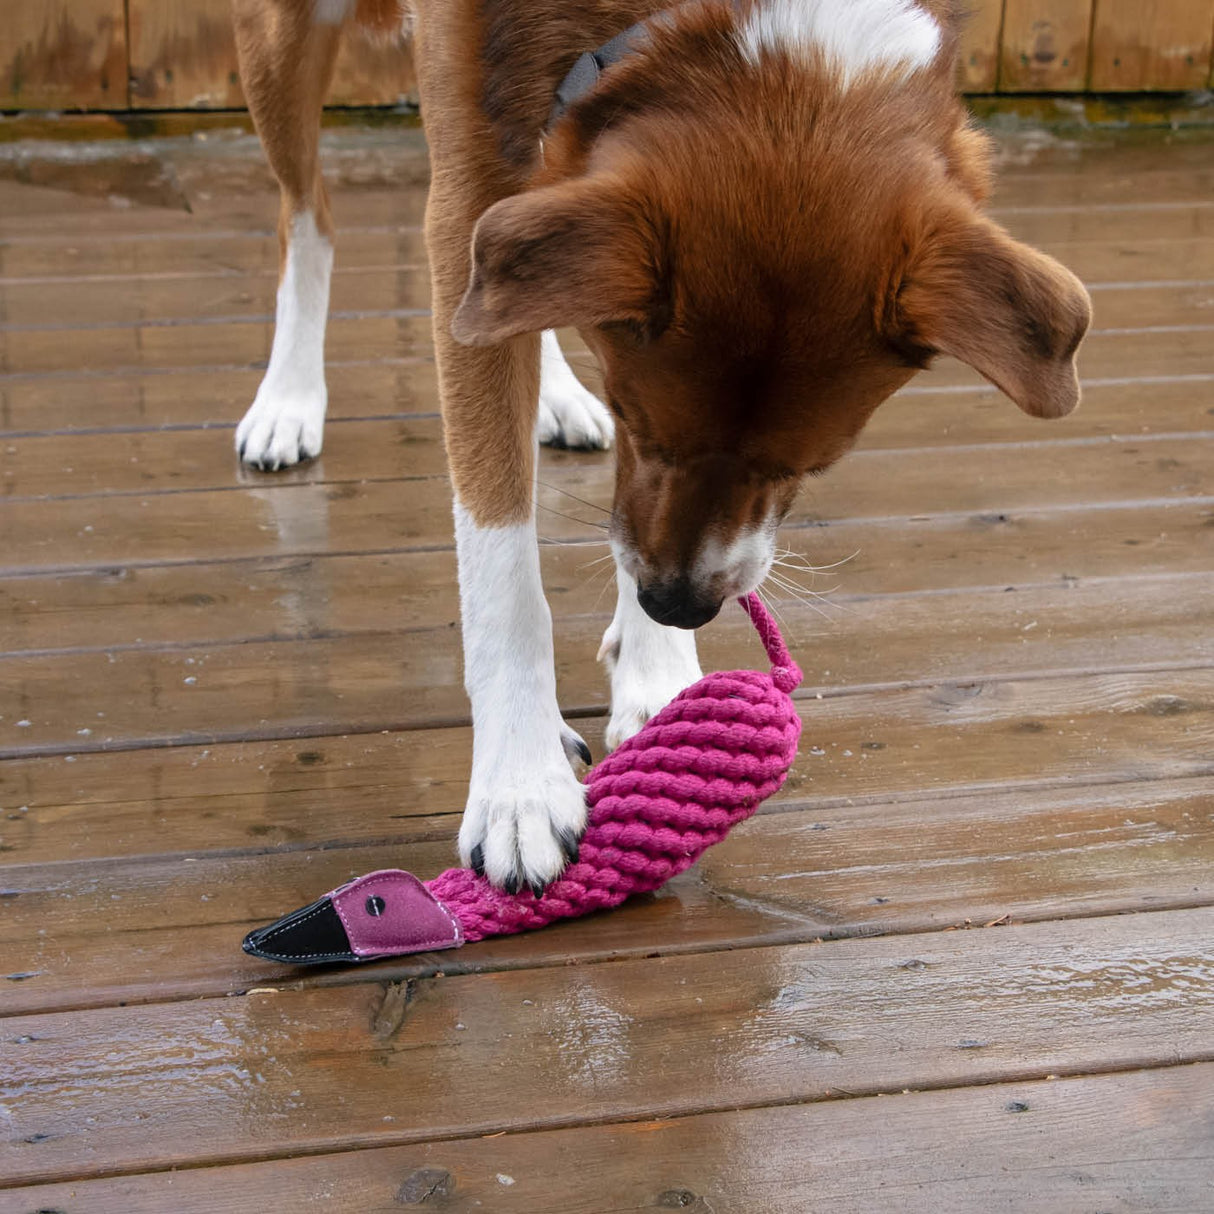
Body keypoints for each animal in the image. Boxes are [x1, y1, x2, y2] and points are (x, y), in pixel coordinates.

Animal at [228, 0, 1092, 893]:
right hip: (279, 48)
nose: (677, 605)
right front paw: (519, 782)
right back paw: (289, 397)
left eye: (809, 467)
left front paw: (659, 670)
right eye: (639, 422)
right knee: (308, 217)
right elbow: (501, 559)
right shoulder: (468, 197)